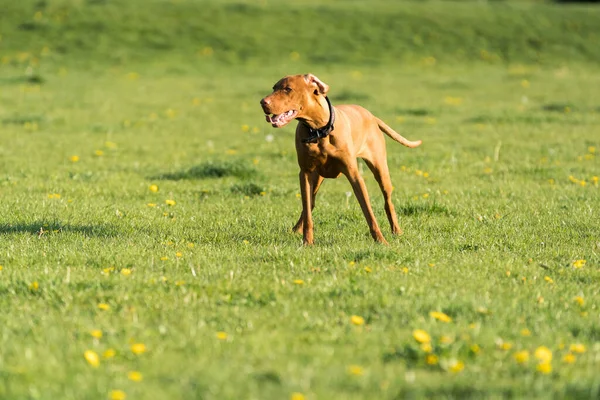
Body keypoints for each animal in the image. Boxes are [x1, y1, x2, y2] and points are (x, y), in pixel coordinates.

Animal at [258, 73, 422, 245]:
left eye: (288, 89)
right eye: (274, 88)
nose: (262, 102)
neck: (319, 130)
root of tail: (371, 115)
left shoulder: (354, 175)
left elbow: (368, 211)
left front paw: (380, 240)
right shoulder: (305, 173)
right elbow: (308, 210)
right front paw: (307, 242)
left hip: (381, 170)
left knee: (388, 201)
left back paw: (396, 230)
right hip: (316, 178)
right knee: (310, 203)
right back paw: (296, 229)